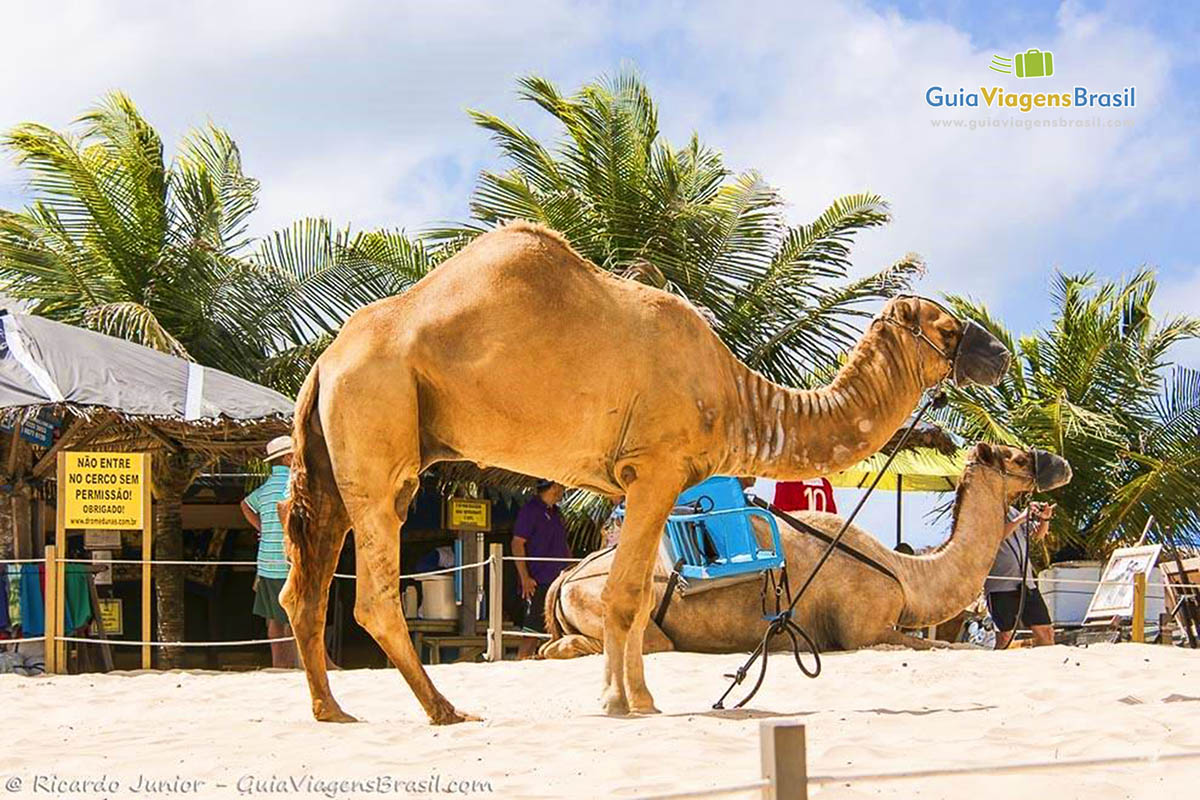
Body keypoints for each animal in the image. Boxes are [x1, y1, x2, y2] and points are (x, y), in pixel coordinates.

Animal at [276, 220, 1008, 724]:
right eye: (947, 329)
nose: (999, 353)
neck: (736, 396)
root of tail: (325, 364)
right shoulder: (657, 468)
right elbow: (625, 597)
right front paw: (617, 702)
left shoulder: (646, 484)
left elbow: (632, 594)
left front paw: (644, 700)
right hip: (378, 426)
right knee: (371, 593)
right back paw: (444, 710)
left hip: (331, 455)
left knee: (304, 583)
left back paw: (331, 710)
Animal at [540, 441, 1075, 662]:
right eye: (1017, 457)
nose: (1063, 464)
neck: (904, 571)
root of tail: (565, 578)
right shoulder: (865, 629)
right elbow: (952, 645)